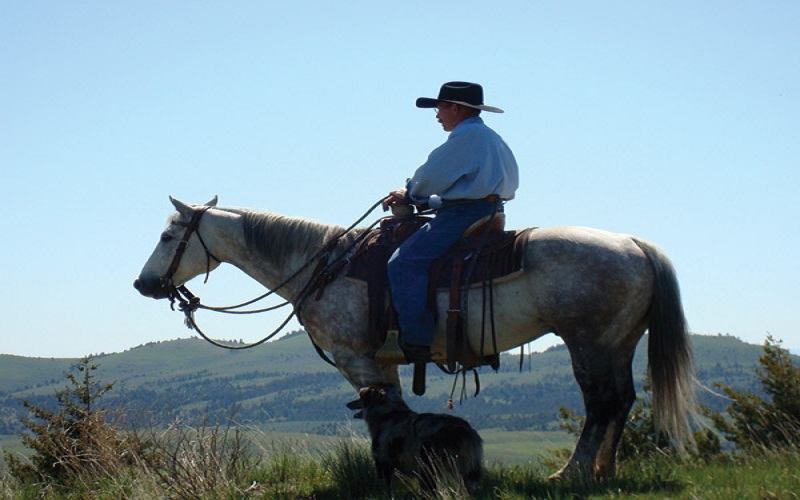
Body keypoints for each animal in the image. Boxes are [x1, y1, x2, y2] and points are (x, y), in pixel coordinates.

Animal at [131, 196, 692, 480]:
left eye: (167, 235)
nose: (143, 284)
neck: (323, 264)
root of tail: (634, 244)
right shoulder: (384, 360)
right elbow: (392, 410)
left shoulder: (357, 357)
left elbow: (384, 416)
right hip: (618, 342)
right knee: (622, 401)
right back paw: (605, 470)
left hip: (588, 342)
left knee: (600, 404)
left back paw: (572, 474)